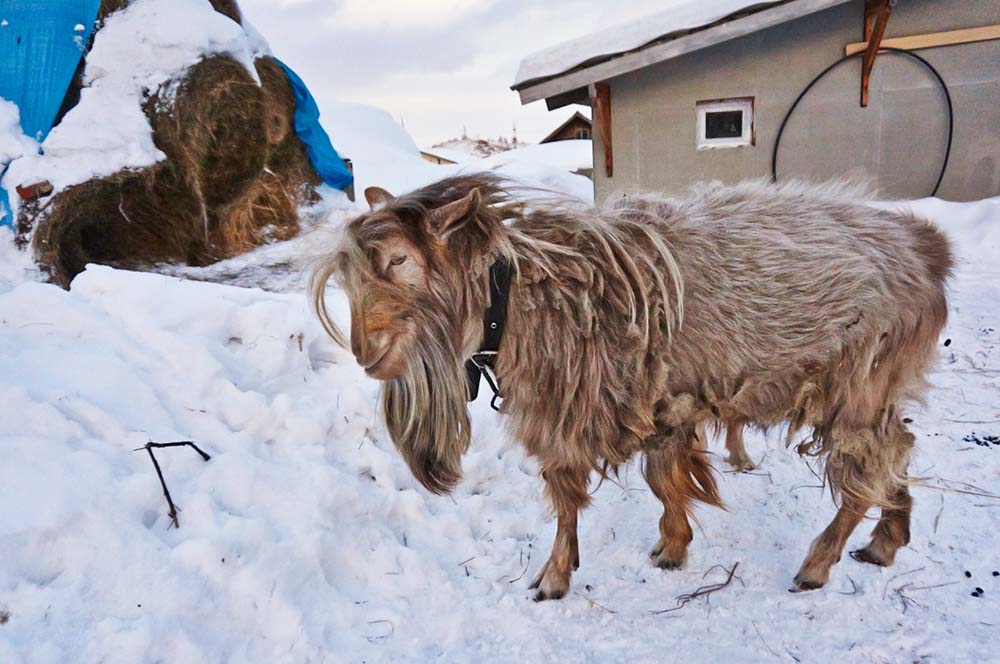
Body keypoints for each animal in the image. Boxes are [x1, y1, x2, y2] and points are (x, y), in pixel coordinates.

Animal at [312, 174, 952, 600]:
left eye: (399, 261)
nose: (366, 354)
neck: (524, 296)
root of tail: (929, 253)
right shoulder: (663, 404)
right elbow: (662, 479)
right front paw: (672, 546)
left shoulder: (574, 415)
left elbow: (570, 497)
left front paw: (553, 578)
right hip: (878, 391)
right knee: (897, 450)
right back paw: (887, 540)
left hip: (856, 384)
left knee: (865, 470)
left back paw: (818, 564)